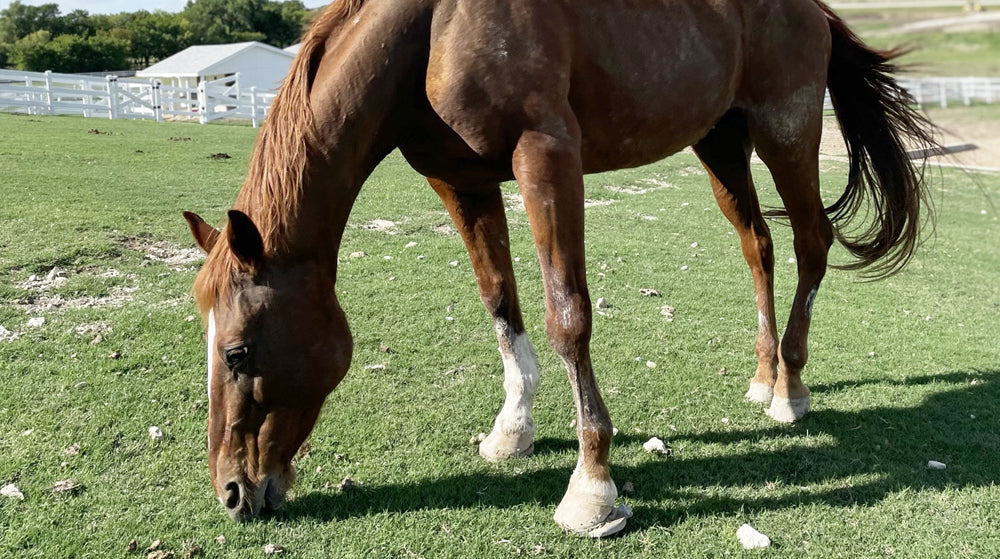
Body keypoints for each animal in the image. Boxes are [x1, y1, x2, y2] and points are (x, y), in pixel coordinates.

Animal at [182, 0, 936, 536]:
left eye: (238, 350)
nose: (231, 491)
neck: (435, 26)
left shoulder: (546, 155)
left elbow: (567, 315)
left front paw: (592, 486)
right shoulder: (461, 182)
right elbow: (499, 299)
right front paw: (512, 429)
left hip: (786, 129)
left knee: (811, 243)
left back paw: (792, 388)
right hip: (721, 141)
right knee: (760, 246)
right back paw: (763, 374)